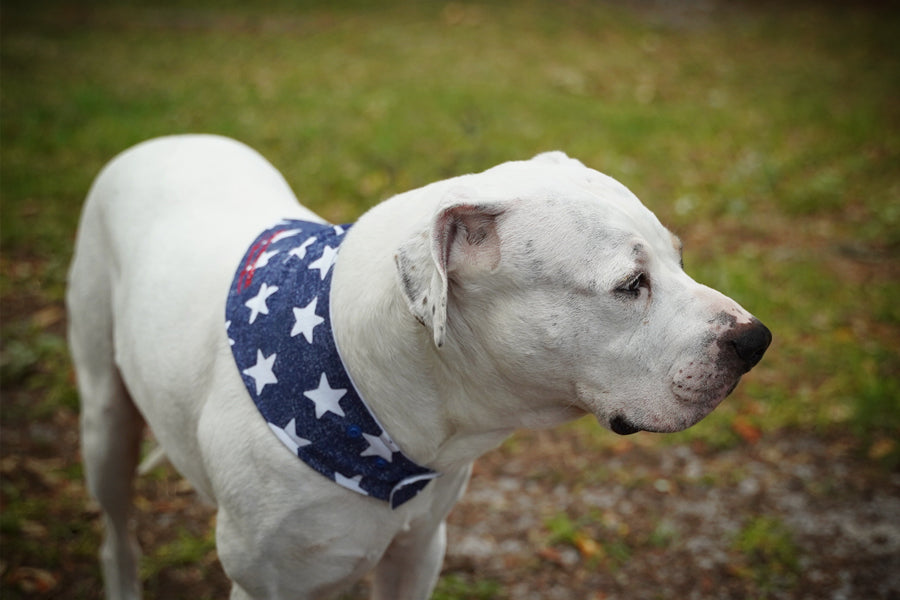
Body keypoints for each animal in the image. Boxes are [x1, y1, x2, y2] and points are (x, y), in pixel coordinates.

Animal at [70, 134, 768, 596]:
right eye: (630, 285)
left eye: (679, 257)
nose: (755, 340)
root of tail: (162, 139)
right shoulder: (265, 582)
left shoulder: (418, 553)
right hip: (104, 421)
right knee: (114, 531)